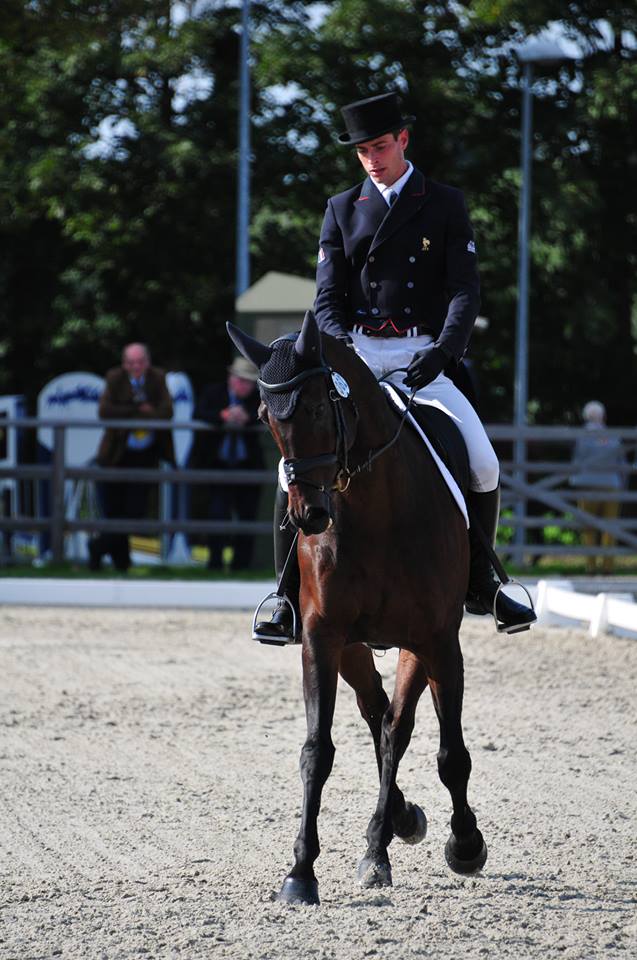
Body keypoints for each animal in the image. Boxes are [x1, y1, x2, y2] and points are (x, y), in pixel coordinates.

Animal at [229, 312, 486, 904]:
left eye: (318, 407)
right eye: (265, 417)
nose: (309, 516)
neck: (377, 509)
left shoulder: (440, 641)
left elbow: (450, 753)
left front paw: (465, 844)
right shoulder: (323, 636)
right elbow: (316, 751)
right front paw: (301, 873)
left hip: (417, 646)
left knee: (396, 726)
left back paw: (388, 838)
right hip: (353, 647)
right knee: (379, 716)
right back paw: (390, 831)